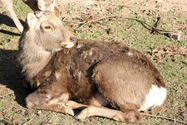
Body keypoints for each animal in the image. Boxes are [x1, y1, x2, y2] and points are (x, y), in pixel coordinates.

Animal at [16, 1, 167, 123]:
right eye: (47, 26)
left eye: (60, 22)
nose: (73, 38)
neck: (34, 68)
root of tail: (160, 91)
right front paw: (64, 106)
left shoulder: (56, 84)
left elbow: (28, 100)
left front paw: (63, 108)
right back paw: (72, 104)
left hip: (108, 74)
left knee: (133, 115)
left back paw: (81, 112)